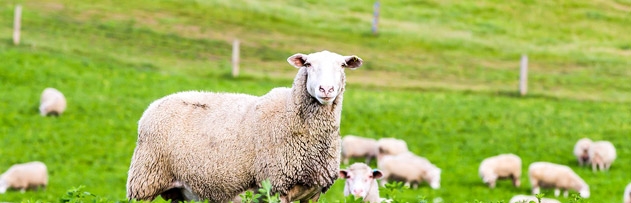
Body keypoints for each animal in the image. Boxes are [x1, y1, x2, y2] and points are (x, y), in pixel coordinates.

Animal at [126, 49, 362, 203]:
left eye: (342, 65)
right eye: (308, 64)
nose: (326, 89)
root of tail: (156, 103)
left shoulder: (312, 193)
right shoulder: (276, 187)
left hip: (180, 190)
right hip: (144, 181)